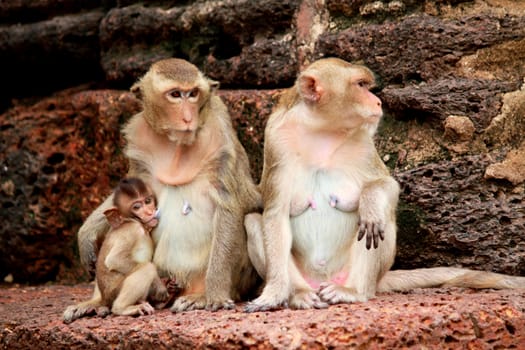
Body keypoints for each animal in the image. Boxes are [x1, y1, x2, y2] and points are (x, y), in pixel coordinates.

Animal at [61, 178, 169, 322]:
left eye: (147, 201)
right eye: (136, 207)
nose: (149, 212)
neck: (133, 221)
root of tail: (104, 298)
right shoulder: (132, 231)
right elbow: (115, 260)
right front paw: (160, 287)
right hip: (114, 292)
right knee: (147, 268)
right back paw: (122, 308)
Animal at [75, 58, 260, 314]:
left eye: (193, 94)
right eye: (175, 94)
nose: (188, 118)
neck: (176, 144)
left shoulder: (220, 137)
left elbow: (229, 207)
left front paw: (214, 295)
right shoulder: (140, 140)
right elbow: (127, 190)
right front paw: (86, 234)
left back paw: (198, 295)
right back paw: (98, 301)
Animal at [245, 57, 524, 312]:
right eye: (360, 85)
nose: (378, 102)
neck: (321, 131)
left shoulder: (363, 142)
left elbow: (387, 185)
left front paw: (369, 201)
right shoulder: (276, 142)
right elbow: (275, 215)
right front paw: (273, 294)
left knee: (383, 218)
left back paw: (354, 291)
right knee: (253, 222)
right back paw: (299, 294)